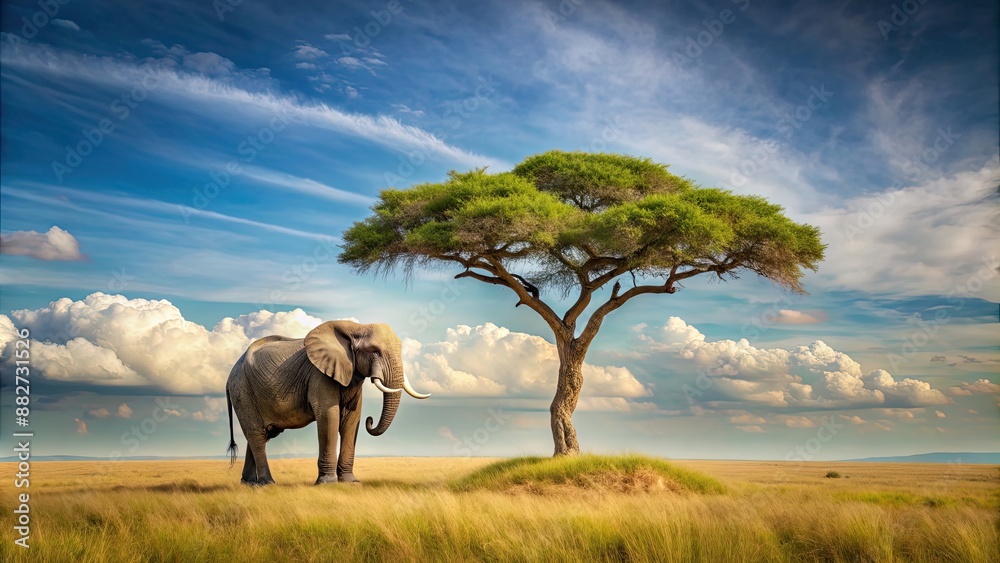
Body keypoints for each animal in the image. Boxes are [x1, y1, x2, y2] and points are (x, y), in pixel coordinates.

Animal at [224, 320, 429, 486]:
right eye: (375, 351)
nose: (370, 421)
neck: (356, 327)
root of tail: (230, 375)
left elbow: (352, 419)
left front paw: (351, 483)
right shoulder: (319, 375)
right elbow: (329, 416)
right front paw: (328, 483)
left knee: (262, 434)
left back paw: (249, 484)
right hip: (242, 391)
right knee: (257, 435)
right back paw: (267, 484)